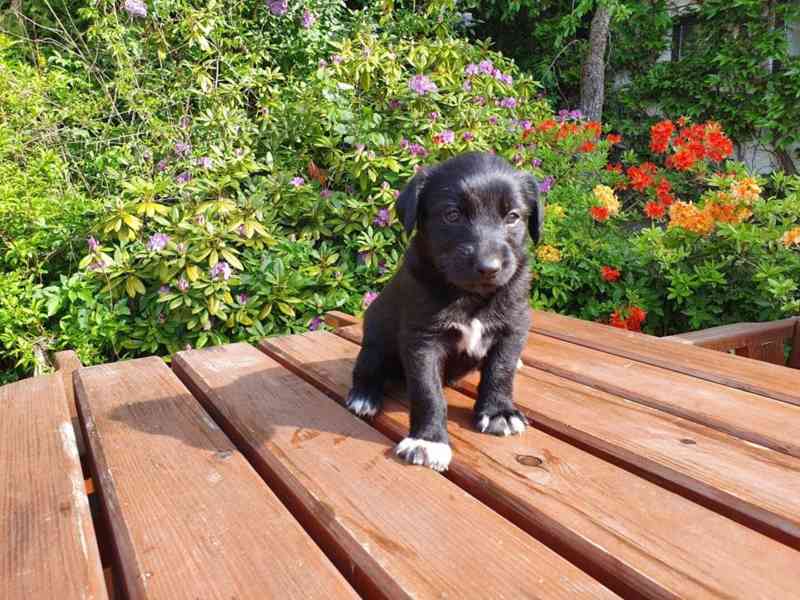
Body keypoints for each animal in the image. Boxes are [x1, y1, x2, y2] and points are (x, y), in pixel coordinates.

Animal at [346, 152, 544, 472]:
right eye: (452, 215)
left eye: (513, 216)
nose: (489, 267)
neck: (470, 296)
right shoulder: (423, 339)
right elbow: (428, 392)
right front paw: (428, 440)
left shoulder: (513, 326)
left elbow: (500, 369)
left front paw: (499, 411)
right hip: (375, 341)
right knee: (367, 367)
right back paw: (364, 396)